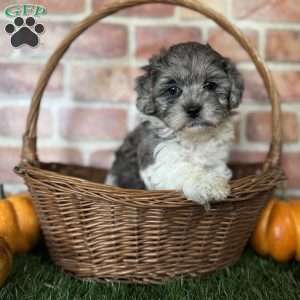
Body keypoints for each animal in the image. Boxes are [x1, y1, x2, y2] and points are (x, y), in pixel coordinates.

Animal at [105, 41, 244, 206]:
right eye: (172, 90)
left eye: (210, 85)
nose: (193, 109)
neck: (194, 138)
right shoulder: (159, 160)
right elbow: (184, 169)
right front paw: (209, 184)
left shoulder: (216, 161)